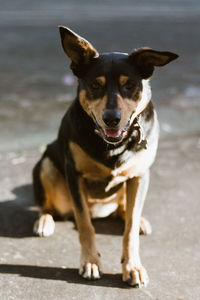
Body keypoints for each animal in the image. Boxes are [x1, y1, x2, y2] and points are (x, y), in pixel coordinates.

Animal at [32, 26, 178, 288]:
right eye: (95, 85)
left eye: (129, 85)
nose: (111, 118)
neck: (112, 144)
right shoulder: (74, 173)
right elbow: (84, 225)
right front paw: (90, 262)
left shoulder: (140, 176)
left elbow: (130, 229)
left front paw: (133, 266)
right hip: (46, 165)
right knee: (48, 205)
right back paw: (44, 220)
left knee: (126, 210)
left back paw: (137, 219)